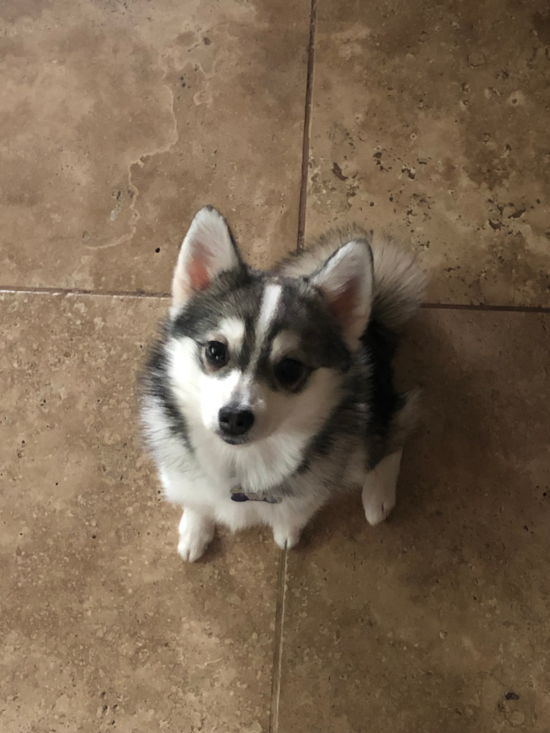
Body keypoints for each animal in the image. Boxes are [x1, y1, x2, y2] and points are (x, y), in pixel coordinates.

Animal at [140, 206, 424, 560]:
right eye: (216, 351)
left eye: (290, 368)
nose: (234, 417)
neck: (239, 466)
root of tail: (374, 326)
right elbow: (194, 499)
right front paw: (195, 529)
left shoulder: (311, 489)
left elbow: (293, 513)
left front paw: (287, 531)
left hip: (371, 418)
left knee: (397, 430)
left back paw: (378, 496)